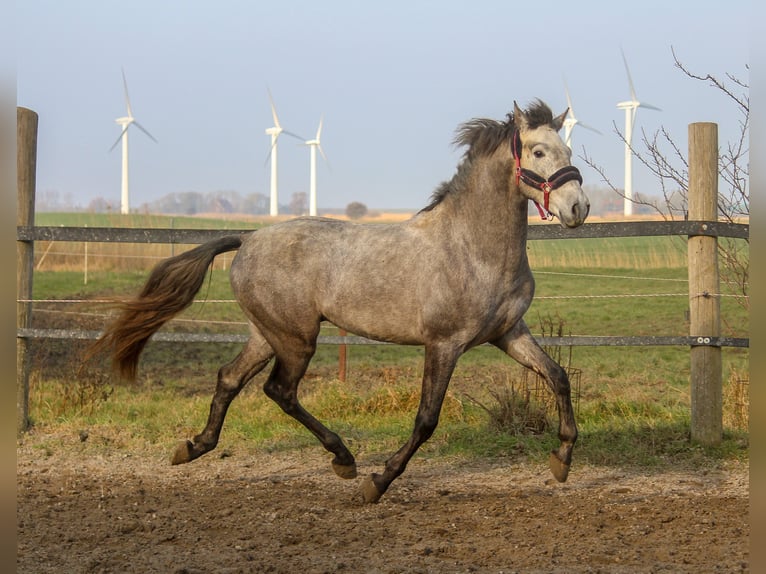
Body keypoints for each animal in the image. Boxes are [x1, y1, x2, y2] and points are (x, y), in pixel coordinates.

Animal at [91, 99, 592, 504]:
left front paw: (562, 459)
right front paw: (378, 482)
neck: (472, 249)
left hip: (268, 334)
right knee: (279, 390)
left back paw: (194, 447)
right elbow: (426, 419)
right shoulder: (444, 344)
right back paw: (344, 460)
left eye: (570, 153)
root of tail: (248, 239)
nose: (578, 209)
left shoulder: (509, 333)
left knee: (229, 378)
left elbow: (558, 377)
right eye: (539, 152)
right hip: (297, 339)